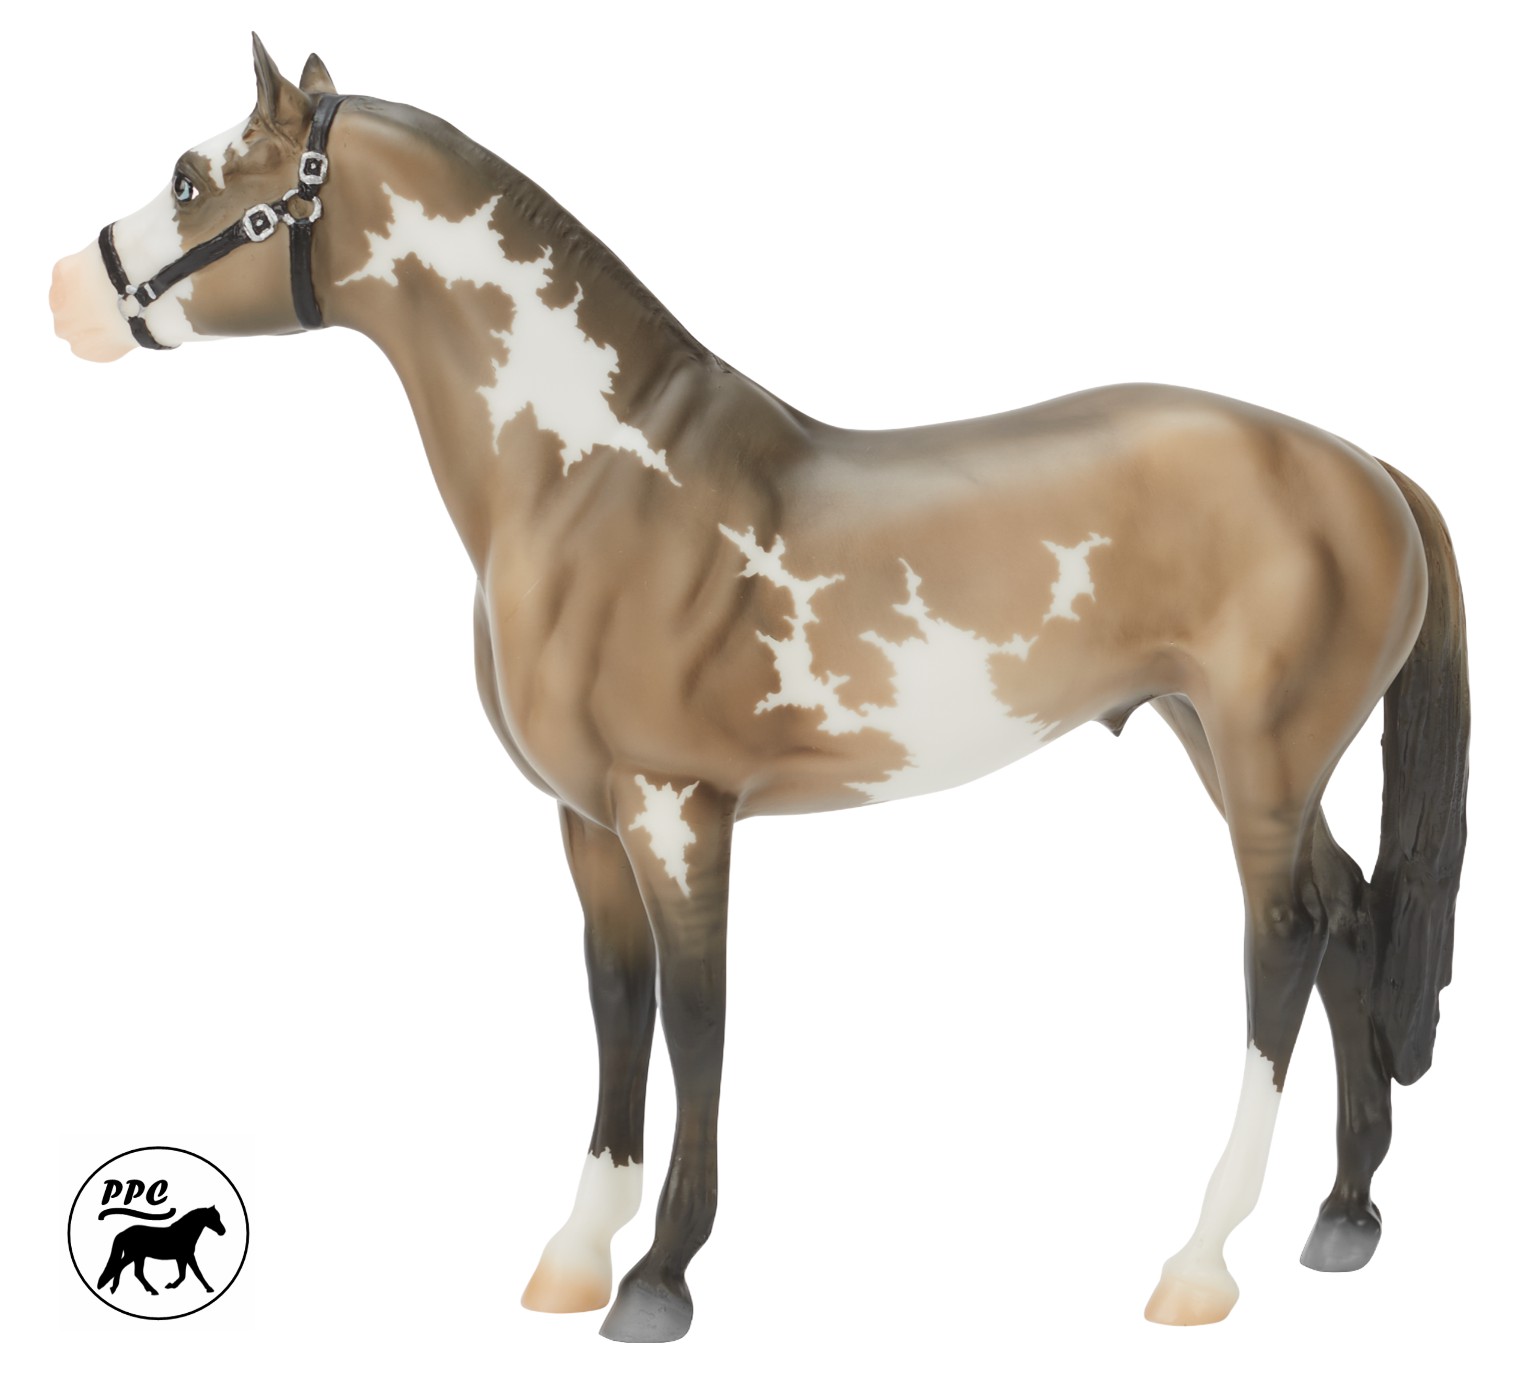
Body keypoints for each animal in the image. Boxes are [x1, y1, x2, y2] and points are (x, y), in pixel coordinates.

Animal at [96, 1206, 227, 1296]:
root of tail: (124, 1232)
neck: (184, 1233)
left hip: (138, 1256)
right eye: (213, 1218)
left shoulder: (182, 1257)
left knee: (137, 1273)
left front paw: (171, 1285)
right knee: (121, 1267)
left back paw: (150, 1290)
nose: (223, 1231)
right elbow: (196, 1273)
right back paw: (115, 1288)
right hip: (132, 1255)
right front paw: (209, 1288)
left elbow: (184, 1274)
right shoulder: (187, 1256)